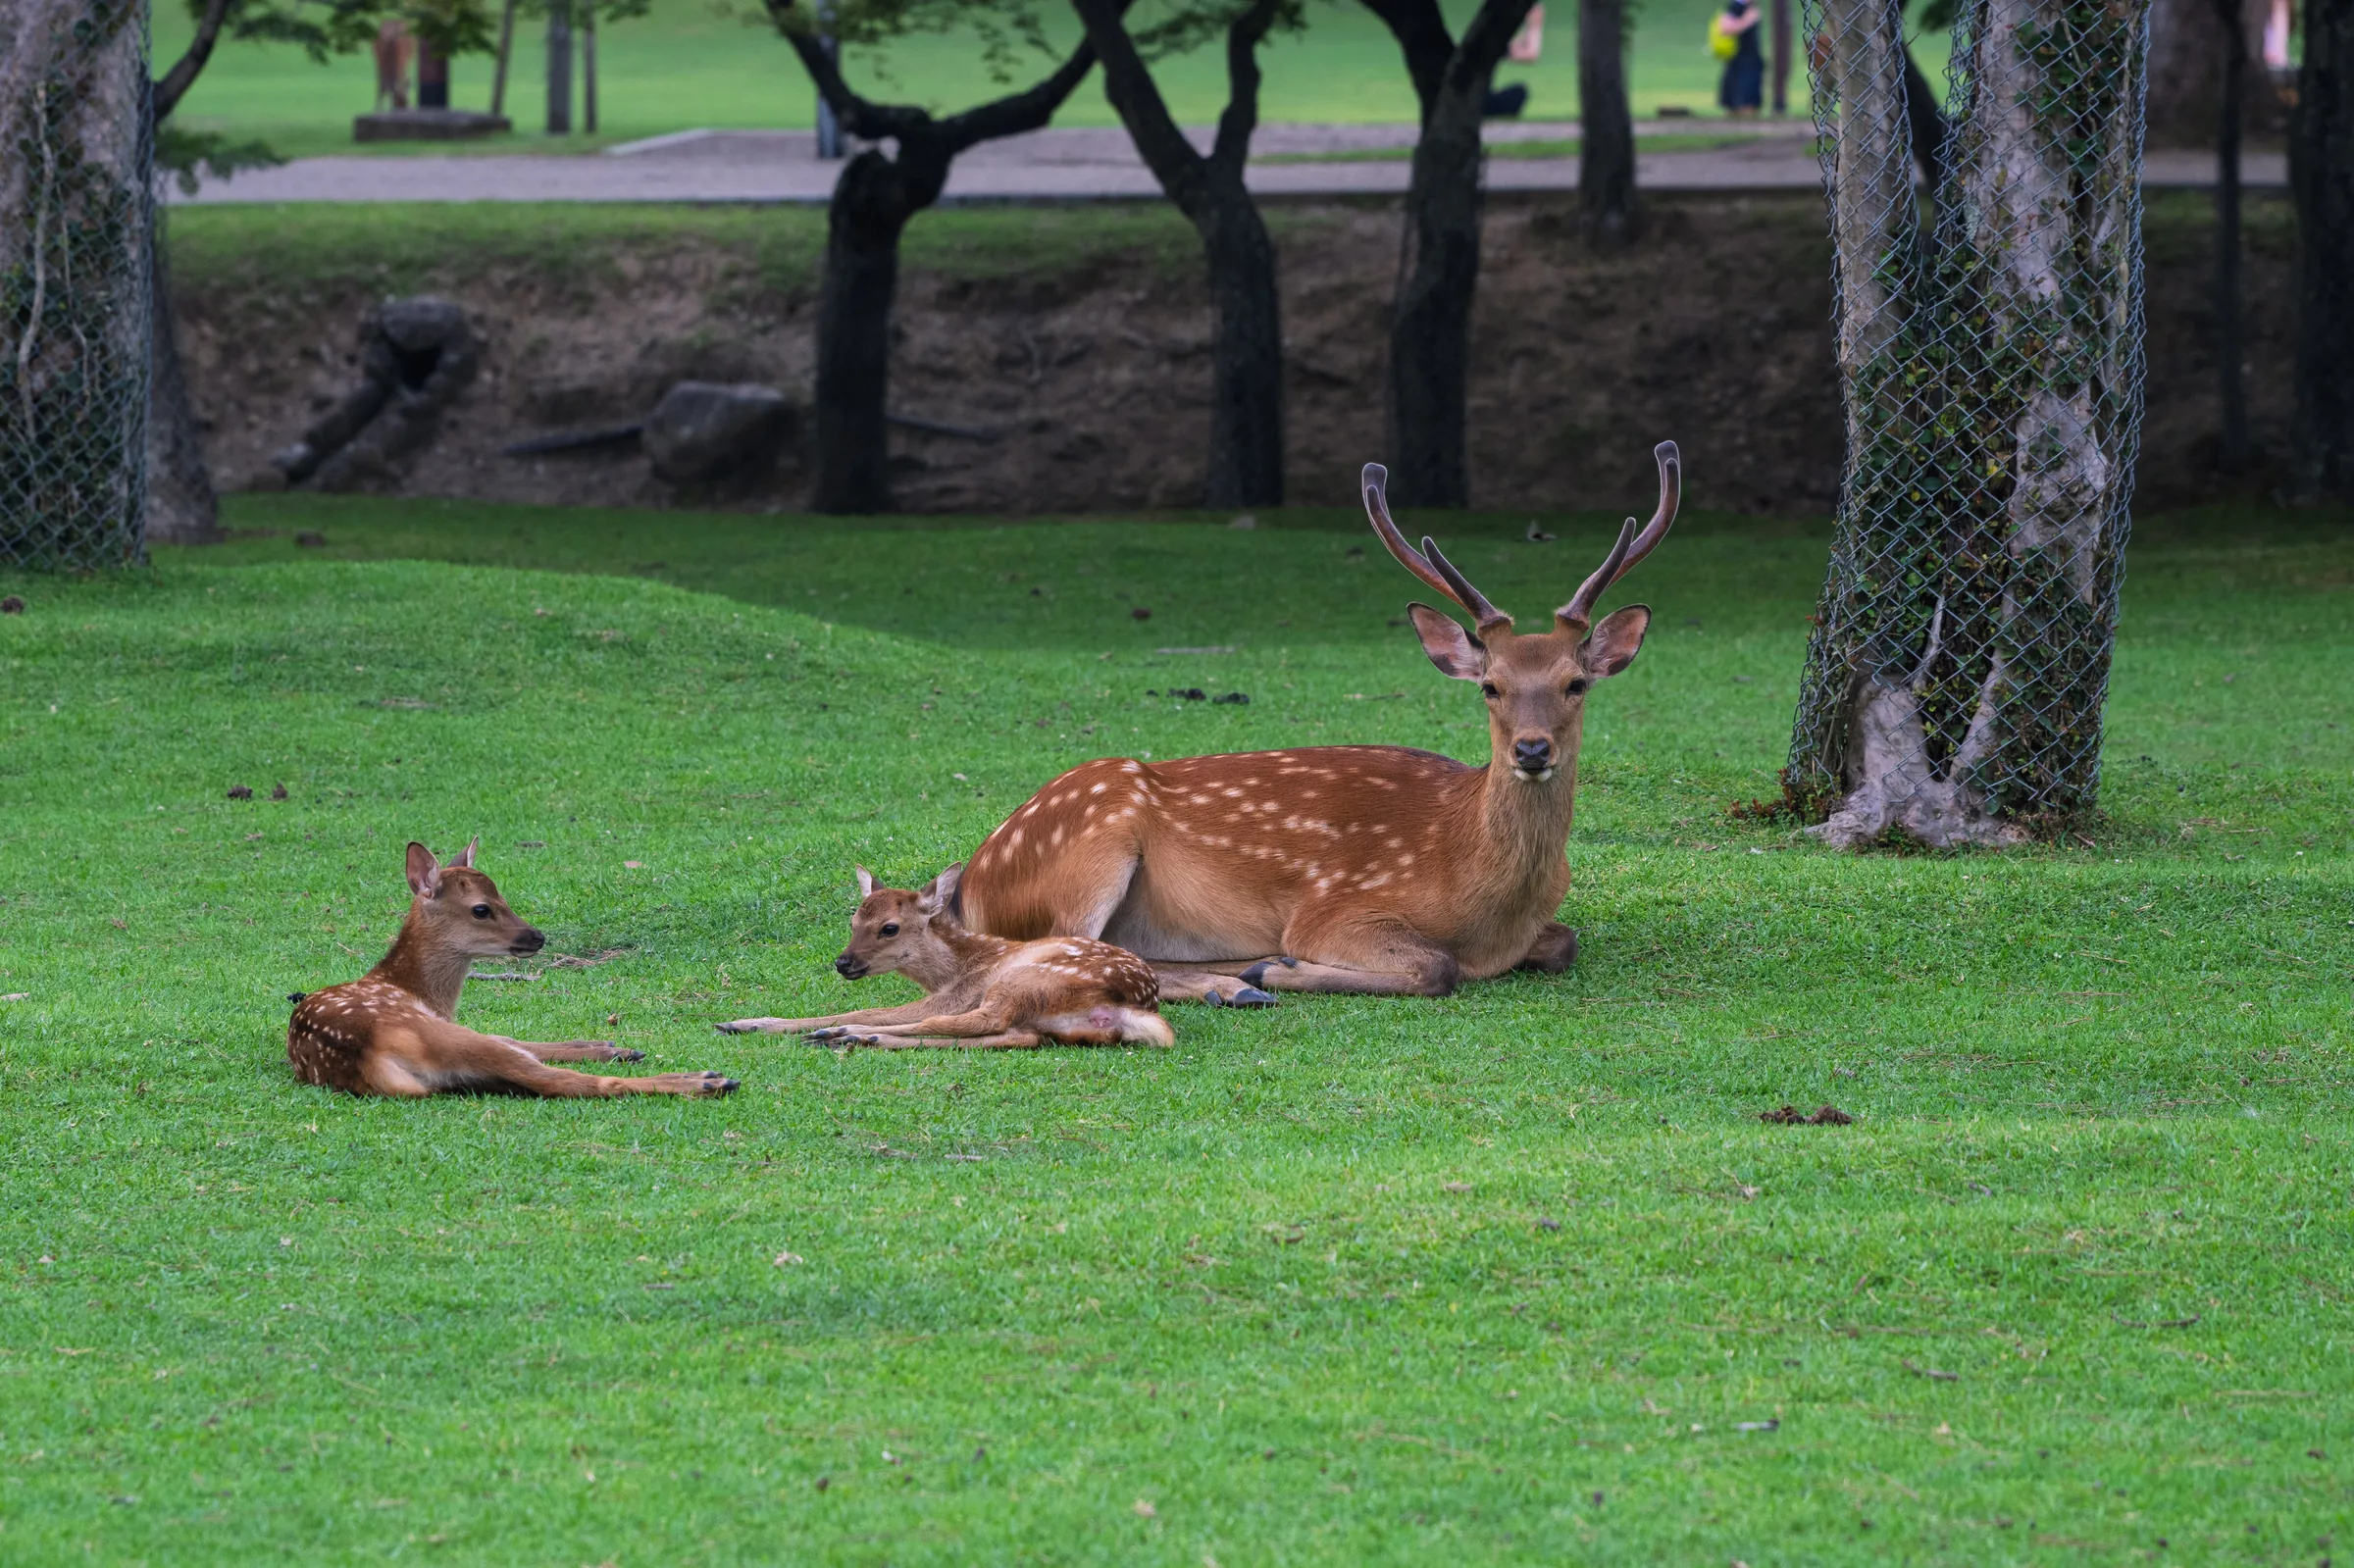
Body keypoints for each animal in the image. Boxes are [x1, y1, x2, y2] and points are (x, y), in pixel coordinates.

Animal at [287, 840, 738, 1099]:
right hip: (440, 1036)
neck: (414, 989)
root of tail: (369, 1059)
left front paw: (607, 1045)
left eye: (502, 895)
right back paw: (706, 1080)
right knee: (567, 1082)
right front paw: (612, 1047)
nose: (537, 936)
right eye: (481, 909)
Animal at [714, 864, 1191, 1048]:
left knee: (979, 1022)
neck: (954, 967)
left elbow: (872, 1007)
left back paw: (846, 1033)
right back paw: (861, 1038)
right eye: (852, 920)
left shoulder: (961, 990)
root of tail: (1131, 1007)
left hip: (1026, 979)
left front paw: (750, 1021)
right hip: (1047, 1016)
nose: (843, 963)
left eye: (889, 927)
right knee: (1017, 1036)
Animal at [949, 441, 1681, 1001]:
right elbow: (1436, 966)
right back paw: (1240, 979)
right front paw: (1279, 965)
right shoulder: (1335, 906)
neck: (1486, 902)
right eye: (1491, 686)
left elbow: (1564, 943)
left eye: (1575, 683)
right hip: (1089, 849)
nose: (1532, 750)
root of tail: (975, 876)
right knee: (1063, 947)